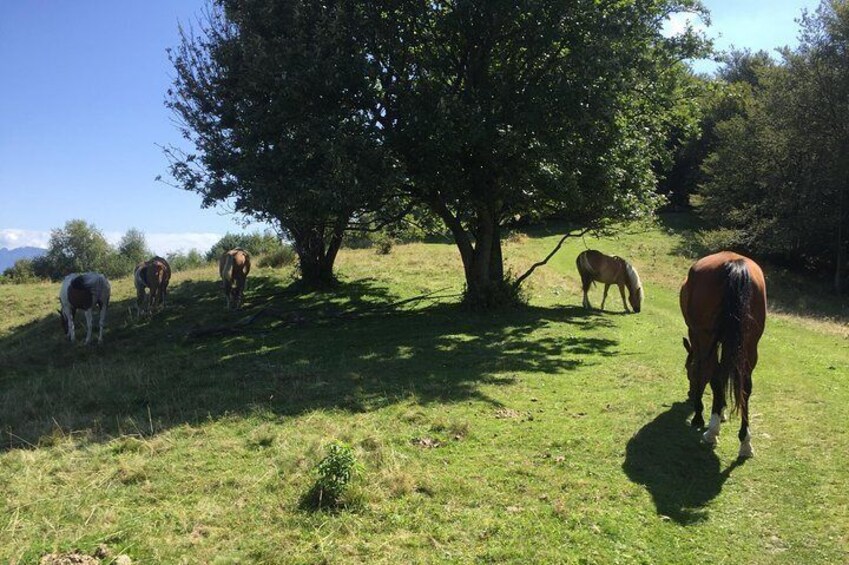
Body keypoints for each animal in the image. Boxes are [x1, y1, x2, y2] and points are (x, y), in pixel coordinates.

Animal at [680, 251, 764, 458]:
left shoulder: (697, 336)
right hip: (750, 344)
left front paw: (703, 415)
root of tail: (734, 264)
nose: (690, 394)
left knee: (710, 370)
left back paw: (710, 429)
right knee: (745, 385)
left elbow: (705, 372)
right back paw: (745, 442)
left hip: (705, 336)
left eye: (687, 371)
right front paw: (722, 408)